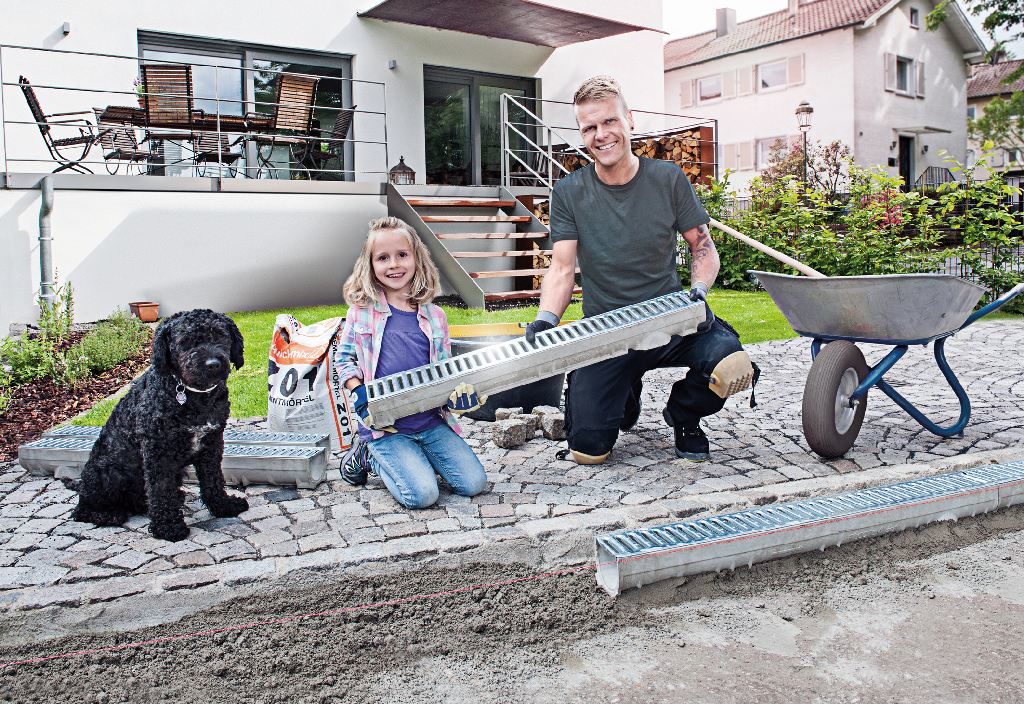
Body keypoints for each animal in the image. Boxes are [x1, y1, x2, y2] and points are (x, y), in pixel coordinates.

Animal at [73, 306, 249, 540]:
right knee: (81, 510)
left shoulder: (211, 444)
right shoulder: (158, 452)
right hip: (107, 472)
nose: (213, 364)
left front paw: (223, 506)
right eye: (185, 341)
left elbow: (213, 479)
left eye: (221, 335)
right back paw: (108, 515)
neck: (193, 397)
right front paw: (168, 526)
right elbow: (161, 489)